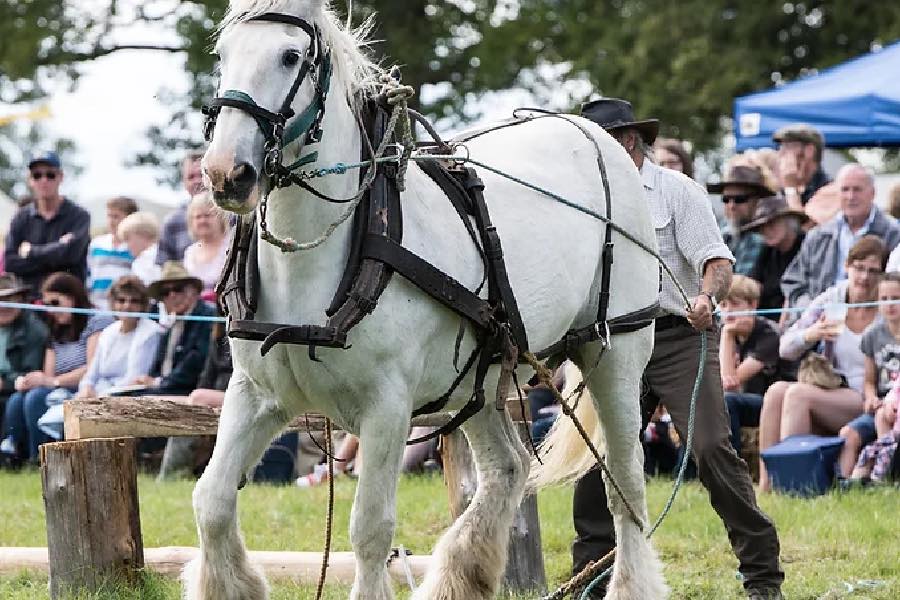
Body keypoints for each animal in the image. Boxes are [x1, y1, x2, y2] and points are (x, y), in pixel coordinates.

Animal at [192, 1, 668, 600]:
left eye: (290, 55)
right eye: (222, 55)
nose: (226, 173)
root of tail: (589, 131)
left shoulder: (387, 408)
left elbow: (370, 530)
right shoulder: (255, 394)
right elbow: (211, 500)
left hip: (617, 353)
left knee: (626, 488)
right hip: (483, 376)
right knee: (509, 468)